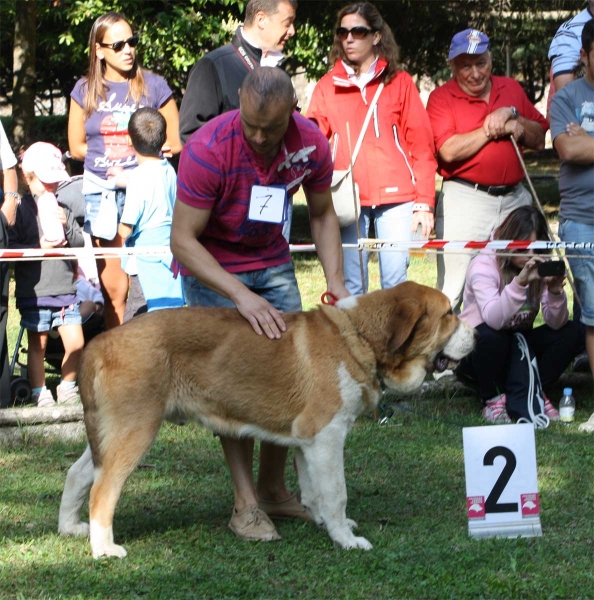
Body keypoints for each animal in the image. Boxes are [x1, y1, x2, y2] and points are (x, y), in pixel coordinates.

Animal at [55, 282, 472, 556]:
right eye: (449, 314)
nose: (477, 334)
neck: (359, 336)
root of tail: (100, 342)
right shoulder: (328, 436)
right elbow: (336, 493)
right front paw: (347, 540)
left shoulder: (309, 442)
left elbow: (315, 491)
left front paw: (324, 523)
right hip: (135, 430)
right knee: (103, 490)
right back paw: (105, 549)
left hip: (109, 433)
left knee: (78, 474)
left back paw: (69, 527)